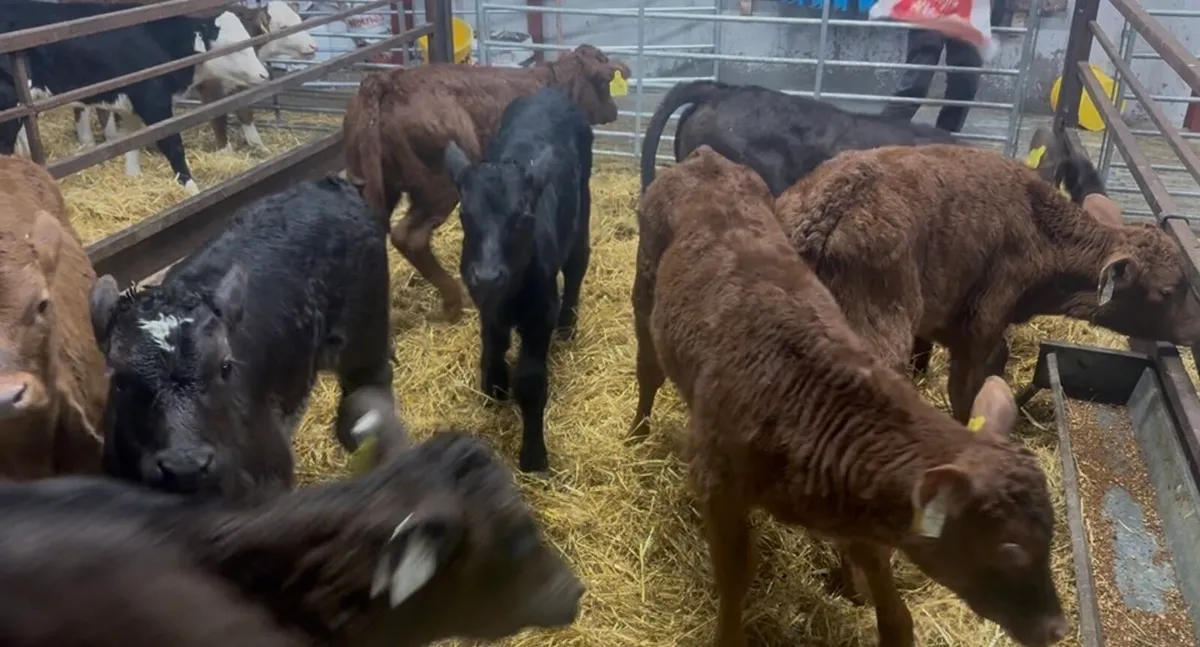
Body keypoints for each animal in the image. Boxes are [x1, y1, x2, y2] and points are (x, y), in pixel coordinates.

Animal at [0, 0, 269, 195]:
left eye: (251, 39)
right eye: (233, 47)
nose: (265, 75)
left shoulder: (132, 106)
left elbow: (132, 141)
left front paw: (133, 176)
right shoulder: (154, 102)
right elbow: (172, 145)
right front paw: (191, 189)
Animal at [343, 44, 630, 323]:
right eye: (604, 83)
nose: (613, 111)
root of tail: (387, 80)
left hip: (374, 185)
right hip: (438, 187)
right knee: (410, 237)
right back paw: (454, 302)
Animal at [441, 87, 593, 474]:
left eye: (524, 217)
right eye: (464, 213)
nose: (488, 274)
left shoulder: (541, 312)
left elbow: (530, 381)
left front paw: (534, 455)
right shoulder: (483, 299)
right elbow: (493, 343)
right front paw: (494, 383)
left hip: (583, 200)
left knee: (577, 261)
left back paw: (569, 324)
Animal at [627, 145, 1067, 647]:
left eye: (1051, 533)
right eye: (1010, 548)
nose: (1057, 628)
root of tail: (705, 158)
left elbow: (884, 586)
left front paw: (867, 599)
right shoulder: (716, 486)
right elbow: (735, 577)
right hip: (644, 291)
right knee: (648, 370)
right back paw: (636, 435)